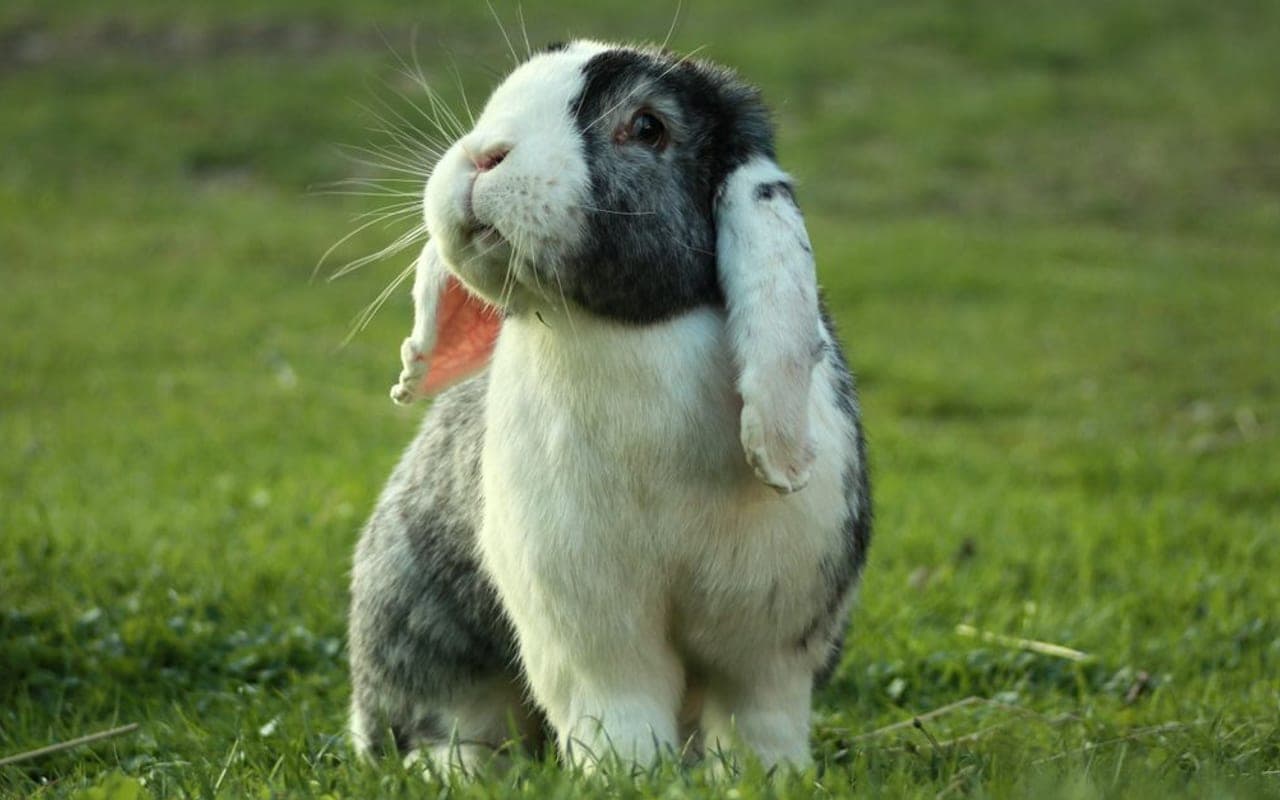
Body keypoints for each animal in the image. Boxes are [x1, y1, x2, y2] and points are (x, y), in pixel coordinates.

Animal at [348, 39, 872, 774]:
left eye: (647, 127)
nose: (483, 155)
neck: (625, 330)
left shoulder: (770, 637)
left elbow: (759, 718)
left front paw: (766, 780)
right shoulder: (587, 620)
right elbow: (618, 708)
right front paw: (627, 776)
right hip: (415, 625)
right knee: (440, 721)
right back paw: (460, 771)